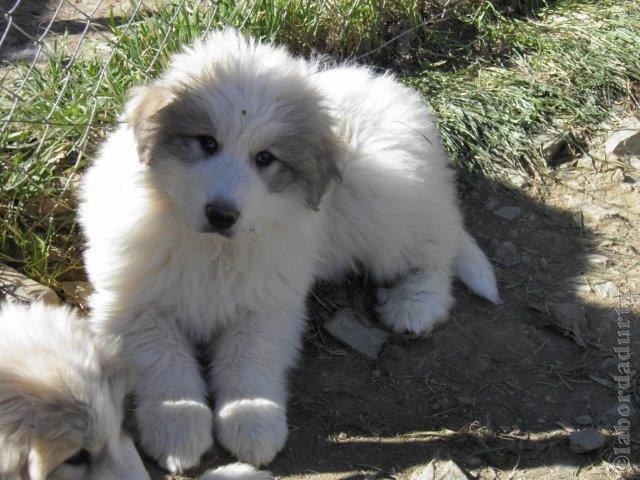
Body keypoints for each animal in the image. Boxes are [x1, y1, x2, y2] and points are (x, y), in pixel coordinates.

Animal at [80, 29, 500, 472]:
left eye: (265, 158)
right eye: (207, 143)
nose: (221, 214)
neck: (213, 248)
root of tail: (390, 89)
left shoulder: (269, 305)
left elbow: (249, 360)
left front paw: (252, 424)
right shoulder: (132, 304)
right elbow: (164, 360)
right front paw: (178, 428)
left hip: (385, 204)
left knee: (438, 244)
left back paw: (416, 303)